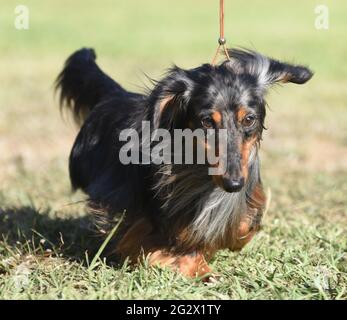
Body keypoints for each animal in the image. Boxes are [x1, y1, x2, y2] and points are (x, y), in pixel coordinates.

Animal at [56, 48, 312, 280]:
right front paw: (195, 267)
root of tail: (115, 95)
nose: (234, 184)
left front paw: (230, 240)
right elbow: (175, 237)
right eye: (206, 121)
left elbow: (244, 224)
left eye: (249, 119)